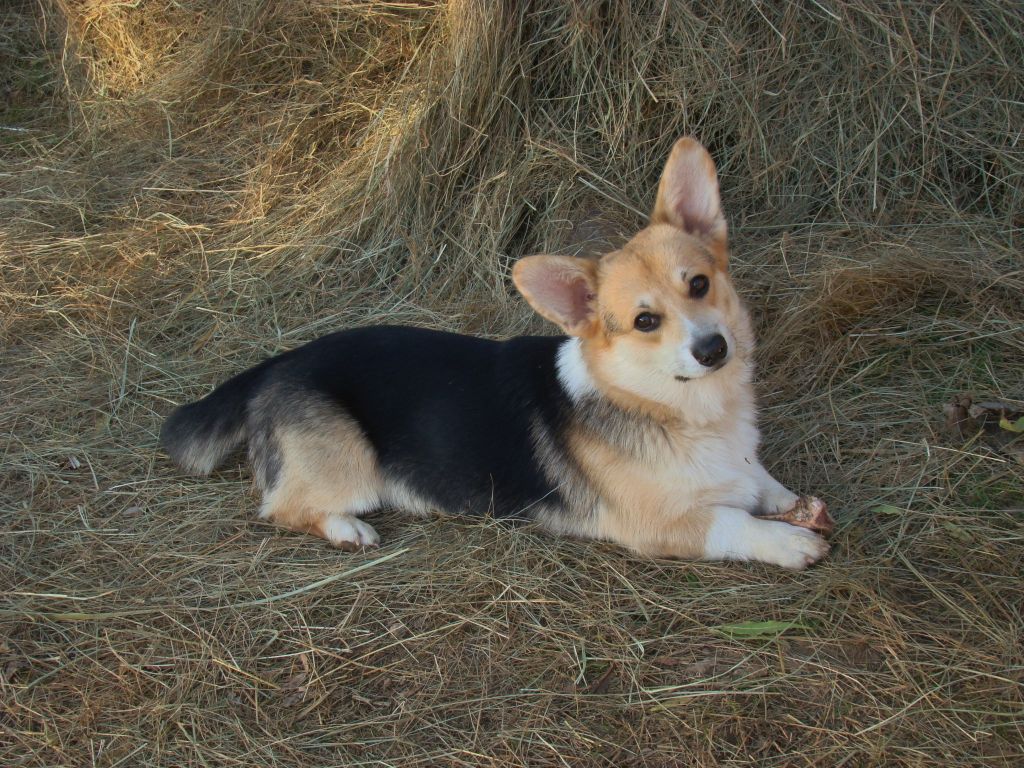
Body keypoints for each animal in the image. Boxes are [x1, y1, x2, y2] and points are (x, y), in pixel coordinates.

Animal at [161, 137, 830, 569]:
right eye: (645, 321)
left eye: (698, 283)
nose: (714, 349)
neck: (676, 407)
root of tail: (277, 363)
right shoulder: (661, 526)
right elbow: (733, 522)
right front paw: (789, 542)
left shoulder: (739, 464)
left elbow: (761, 483)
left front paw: (793, 506)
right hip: (349, 465)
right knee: (282, 508)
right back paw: (349, 529)